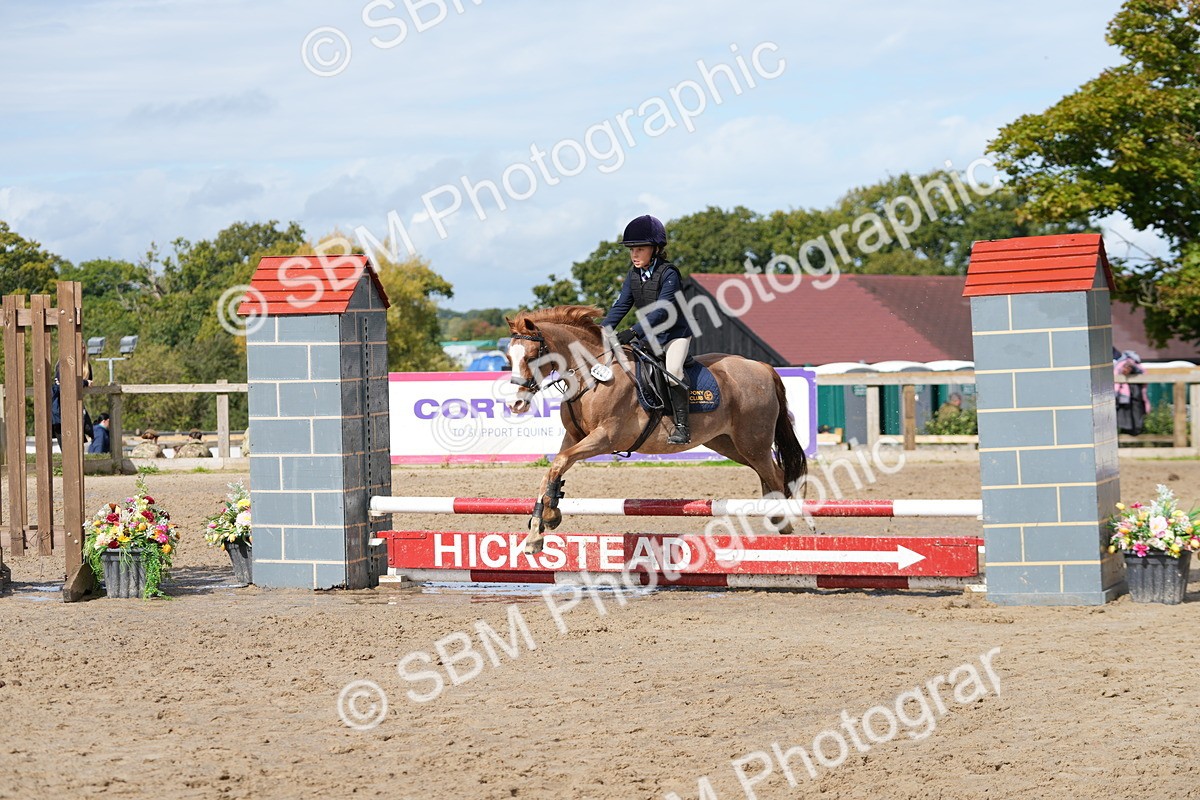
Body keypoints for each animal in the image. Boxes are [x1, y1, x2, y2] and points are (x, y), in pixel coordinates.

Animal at [506, 305, 808, 554]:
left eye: (531, 356)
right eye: (509, 357)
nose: (516, 404)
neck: (590, 375)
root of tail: (762, 367)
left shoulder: (605, 438)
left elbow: (559, 463)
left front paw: (545, 520)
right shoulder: (574, 438)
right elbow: (553, 469)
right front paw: (540, 527)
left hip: (752, 442)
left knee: (777, 476)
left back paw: (787, 525)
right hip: (730, 444)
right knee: (770, 474)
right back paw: (778, 520)